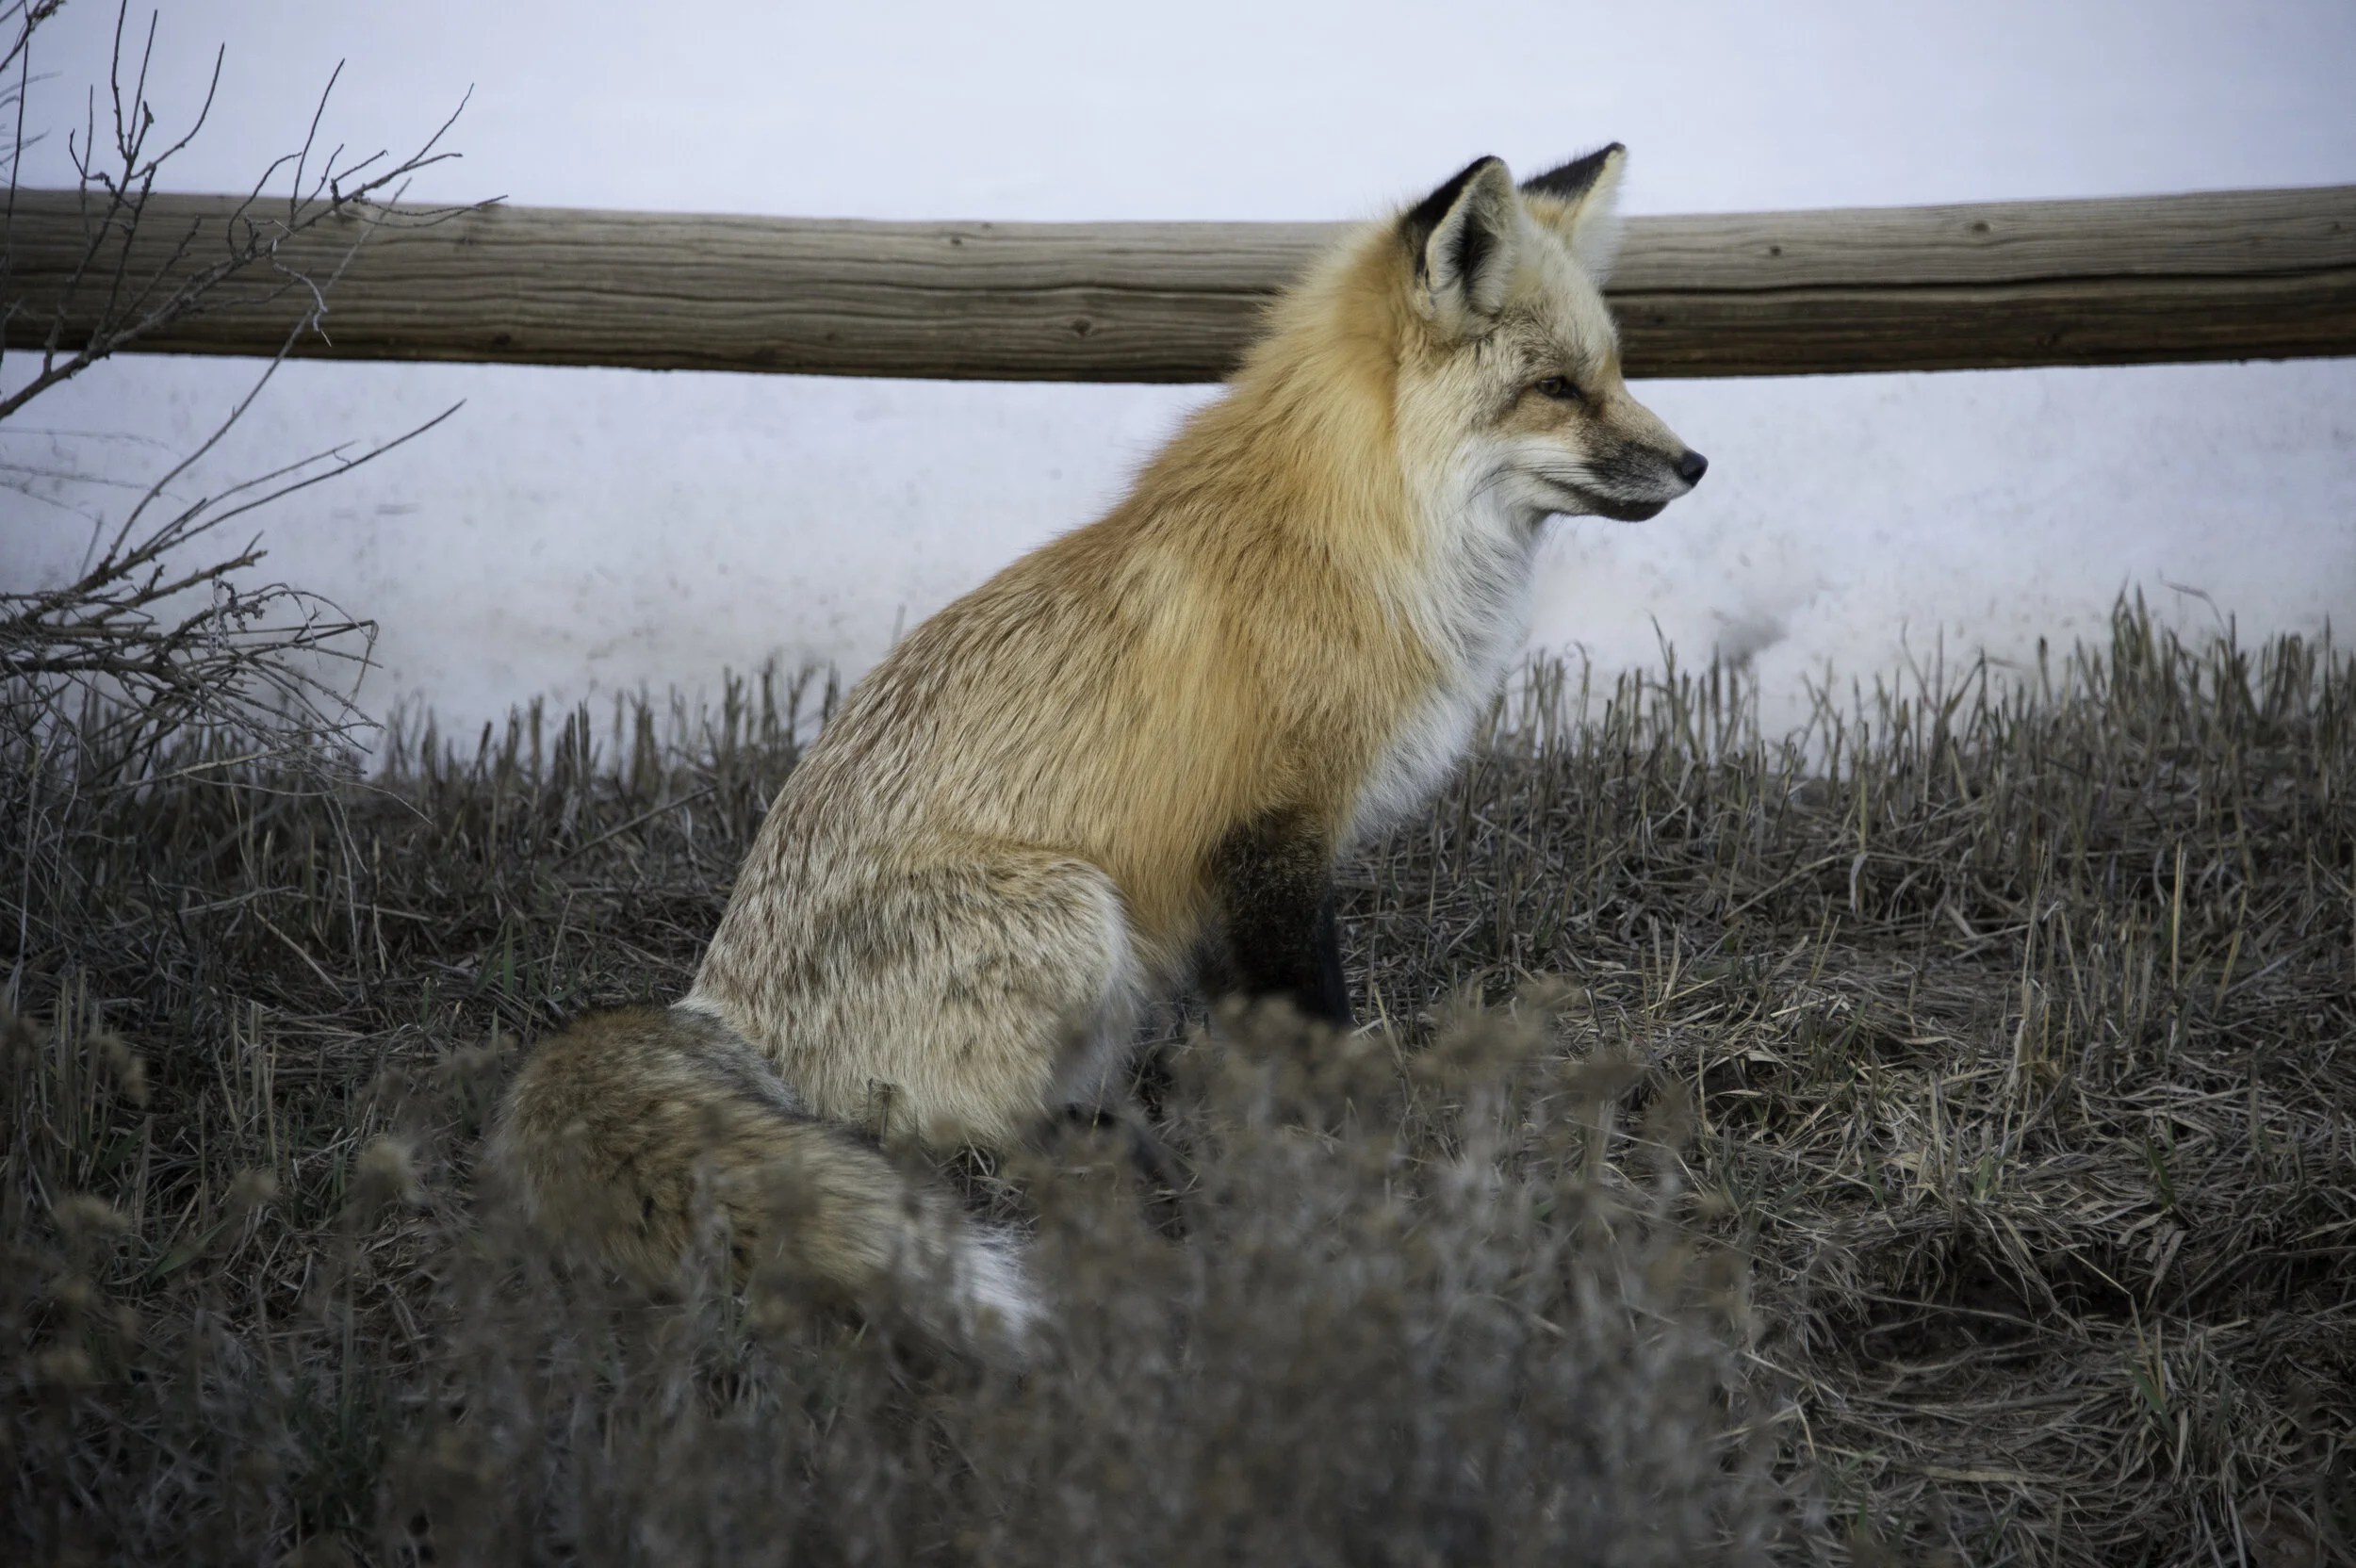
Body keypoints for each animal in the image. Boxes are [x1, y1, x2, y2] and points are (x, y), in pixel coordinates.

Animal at [489, 145, 1706, 1353]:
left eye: (1612, 371)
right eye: (1556, 388)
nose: (1695, 464)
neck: (1356, 543)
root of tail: (719, 1002)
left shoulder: (1232, 873)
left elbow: (1252, 1020)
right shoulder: (1274, 832)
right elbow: (1314, 1015)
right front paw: (1353, 1131)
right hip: (1075, 909)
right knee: (946, 1134)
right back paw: (1105, 1154)